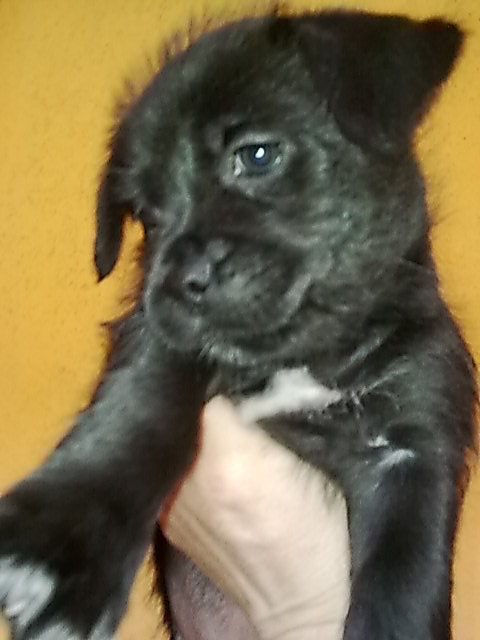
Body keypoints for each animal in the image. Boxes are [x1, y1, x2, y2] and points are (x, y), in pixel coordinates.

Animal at [0, 9, 476, 640]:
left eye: (256, 156)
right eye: (145, 214)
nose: (180, 282)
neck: (299, 360)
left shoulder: (415, 446)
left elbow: (404, 583)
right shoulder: (157, 337)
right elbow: (144, 400)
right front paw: (66, 541)